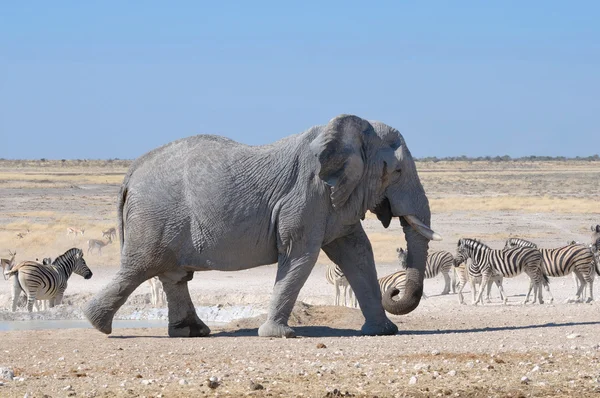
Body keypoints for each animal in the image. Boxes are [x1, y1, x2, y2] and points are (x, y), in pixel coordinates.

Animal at [83, 113, 440, 338]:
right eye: (395, 171)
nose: (395, 289)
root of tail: (130, 174)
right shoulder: (306, 196)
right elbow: (301, 256)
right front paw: (278, 335)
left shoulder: (335, 199)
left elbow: (357, 253)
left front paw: (383, 332)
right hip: (154, 216)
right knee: (141, 268)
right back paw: (98, 325)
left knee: (173, 275)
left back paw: (192, 332)